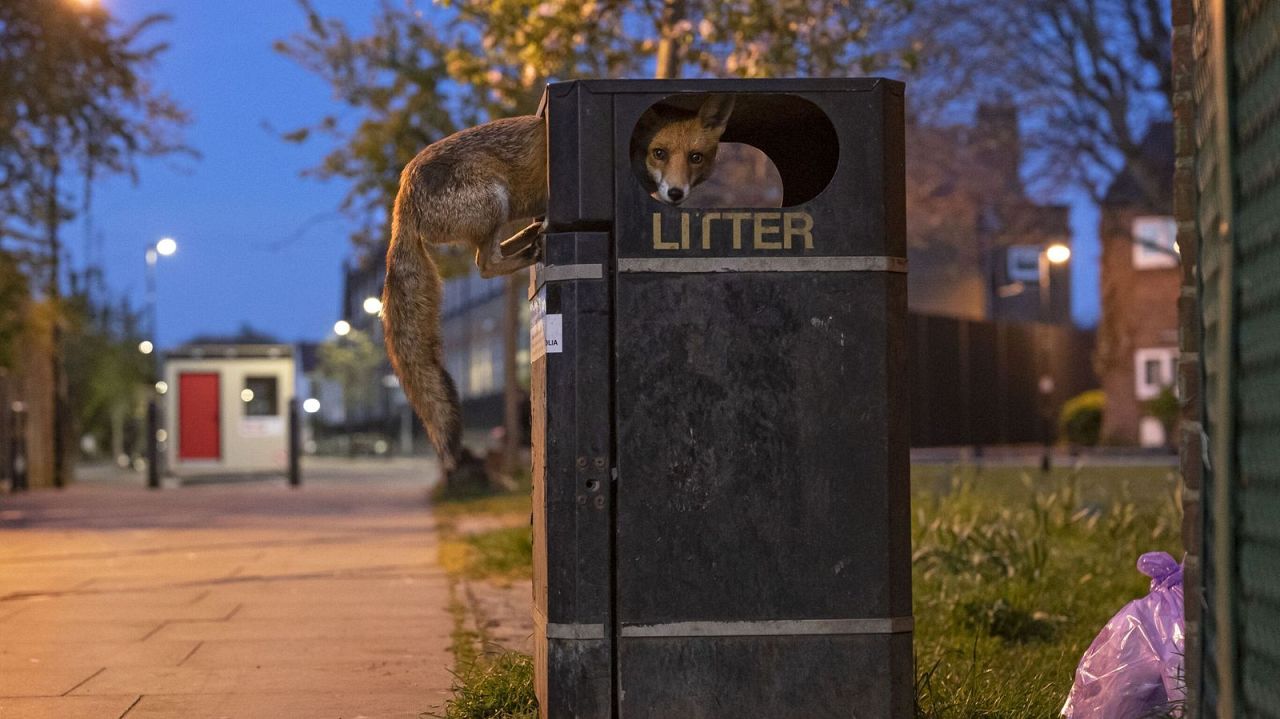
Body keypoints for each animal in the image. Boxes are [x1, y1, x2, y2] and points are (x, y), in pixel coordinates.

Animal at [378, 92, 737, 470]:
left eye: (696, 157)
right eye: (661, 153)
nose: (676, 194)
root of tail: (402, 199)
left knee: (496, 252)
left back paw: (534, 233)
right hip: (495, 200)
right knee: (485, 264)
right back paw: (532, 246)